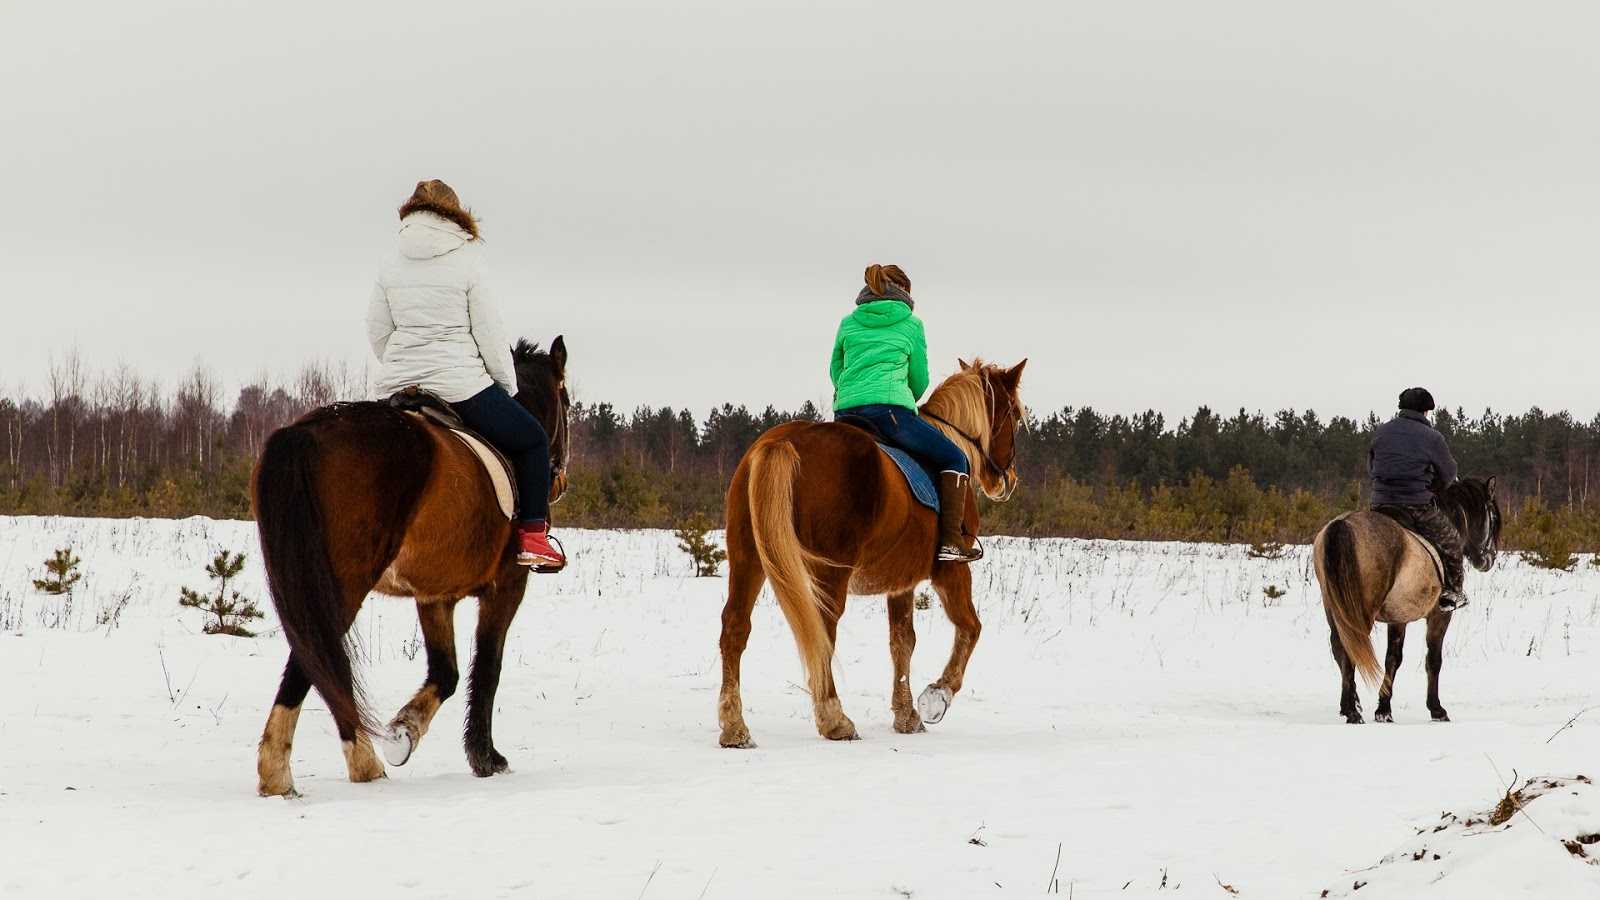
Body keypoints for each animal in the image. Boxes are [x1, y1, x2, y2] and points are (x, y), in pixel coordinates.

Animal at [252, 334, 572, 791]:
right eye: (567, 402)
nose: (559, 481)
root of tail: (304, 432)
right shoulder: (507, 586)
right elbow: (487, 666)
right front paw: (485, 758)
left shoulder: (434, 595)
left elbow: (446, 672)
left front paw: (405, 730)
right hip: (341, 582)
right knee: (314, 658)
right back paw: (333, 766)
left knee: (316, 657)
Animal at [716, 357, 1024, 743]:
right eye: (1015, 414)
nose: (1007, 480)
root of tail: (783, 442)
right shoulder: (952, 570)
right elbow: (970, 627)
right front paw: (936, 697)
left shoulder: (902, 580)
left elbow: (902, 641)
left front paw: (906, 714)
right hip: (831, 570)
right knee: (822, 632)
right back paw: (834, 719)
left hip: (748, 559)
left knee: (735, 626)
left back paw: (734, 727)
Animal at [1312, 477, 1497, 720]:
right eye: (1493, 517)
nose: (1490, 558)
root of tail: (1343, 524)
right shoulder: (1439, 616)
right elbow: (1433, 659)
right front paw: (1436, 709)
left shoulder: (1398, 617)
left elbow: (1392, 658)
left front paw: (1383, 709)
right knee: (1352, 645)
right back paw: (1353, 712)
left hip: (1333, 605)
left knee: (1340, 646)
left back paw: (1350, 705)